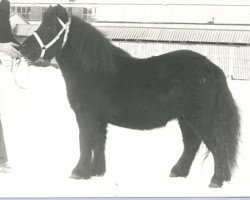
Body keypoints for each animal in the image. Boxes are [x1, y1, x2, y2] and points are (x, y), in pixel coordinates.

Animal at [21, 4, 240, 188]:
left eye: (50, 28)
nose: (23, 49)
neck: (93, 70)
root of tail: (213, 69)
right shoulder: (99, 119)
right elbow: (99, 142)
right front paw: (97, 172)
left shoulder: (86, 116)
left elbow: (86, 141)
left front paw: (79, 172)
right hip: (185, 118)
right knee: (192, 144)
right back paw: (180, 172)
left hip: (200, 118)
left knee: (216, 144)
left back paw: (217, 180)